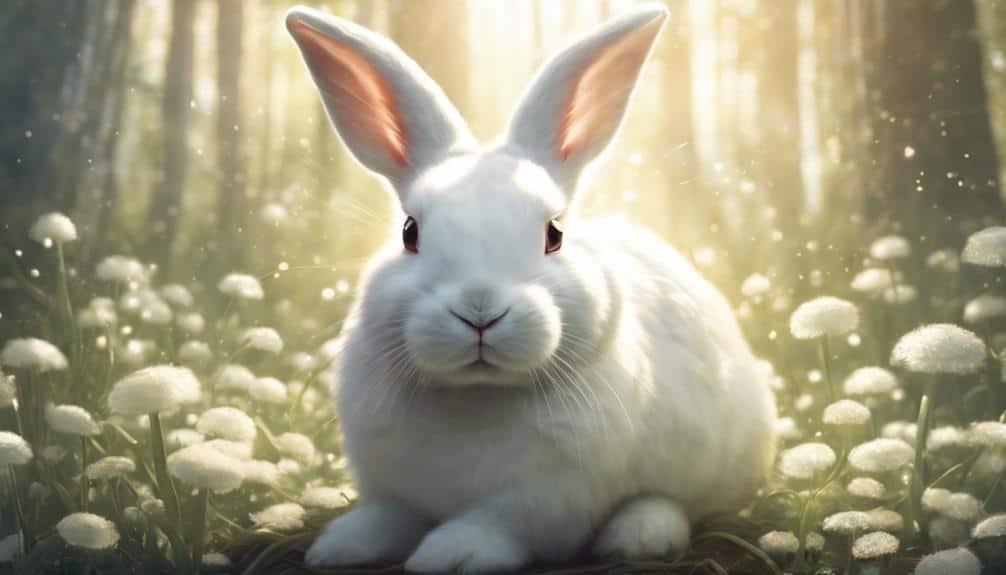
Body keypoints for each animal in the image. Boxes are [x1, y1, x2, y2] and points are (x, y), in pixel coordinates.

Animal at [286, 4, 777, 573]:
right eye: (410, 232)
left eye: (553, 234)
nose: (479, 311)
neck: (479, 396)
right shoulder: (392, 486)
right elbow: (390, 515)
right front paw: (340, 546)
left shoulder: (549, 496)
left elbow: (497, 524)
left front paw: (451, 555)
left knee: (675, 501)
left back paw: (641, 534)